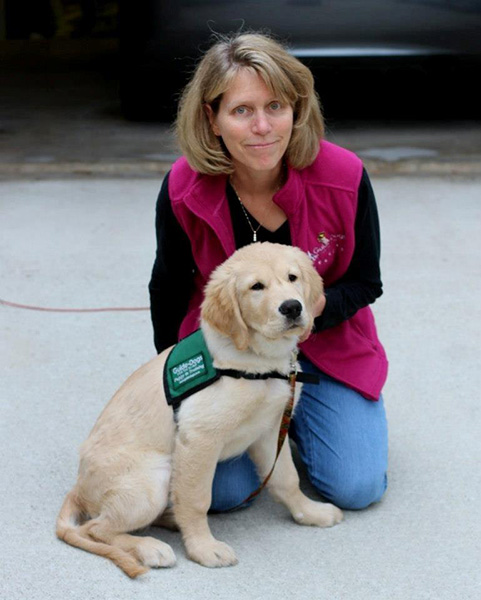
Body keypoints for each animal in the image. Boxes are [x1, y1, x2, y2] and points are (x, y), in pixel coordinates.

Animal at [55, 243, 342, 576]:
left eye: (292, 277)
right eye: (256, 287)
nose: (293, 307)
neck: (256, 363)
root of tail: (78, 487)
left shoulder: (270, 430)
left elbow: (286, 478)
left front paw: (310, 512)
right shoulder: (200, 439)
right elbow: (196, 500)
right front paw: (203, 548)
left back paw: (170, 520)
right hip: (153, 478)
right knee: (96, 529)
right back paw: (150, 547)